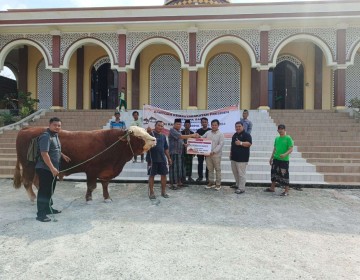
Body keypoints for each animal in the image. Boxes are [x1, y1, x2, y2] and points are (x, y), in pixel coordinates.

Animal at [13, 126, 156, 202]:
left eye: (145, 132)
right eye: (139, 137)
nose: (154, 139)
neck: (111, 144)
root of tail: (27, 129)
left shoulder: (106, 171)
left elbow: (105, 184)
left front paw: (107, 198)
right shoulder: (92, 170)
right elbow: (92, 186)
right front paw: (88, 199)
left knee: (37, 181)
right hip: (28, 166)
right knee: (27, 182)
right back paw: (33, 198)